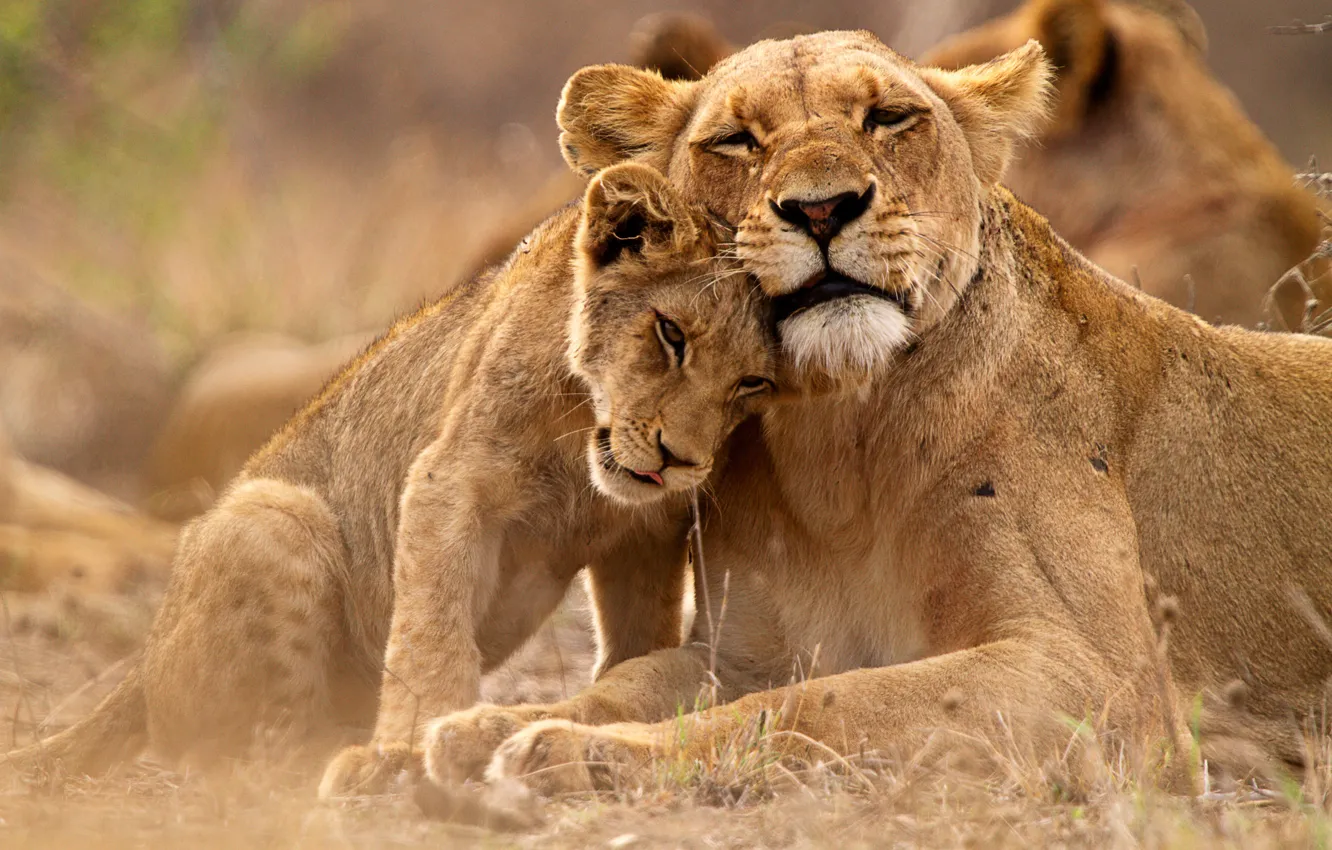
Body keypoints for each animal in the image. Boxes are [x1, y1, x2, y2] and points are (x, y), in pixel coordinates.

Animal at [2, 163, 776, 784]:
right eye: (671, 335)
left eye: (753, 383)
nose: (680, 460)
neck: (582, 442)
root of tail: (139, 666)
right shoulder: (448, 481)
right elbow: (433, 634)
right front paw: (406, 748)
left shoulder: (646, 533)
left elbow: (638, 640)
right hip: (273, 515)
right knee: (244, 753)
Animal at [414, 32, 1332, 800]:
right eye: (736, 140)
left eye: (888, 118)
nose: (822, 208)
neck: (838, 442)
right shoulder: (743, 652)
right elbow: (629, 682)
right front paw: (484, 726)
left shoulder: (1104, 681)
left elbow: (822, 705)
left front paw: (567, 752)